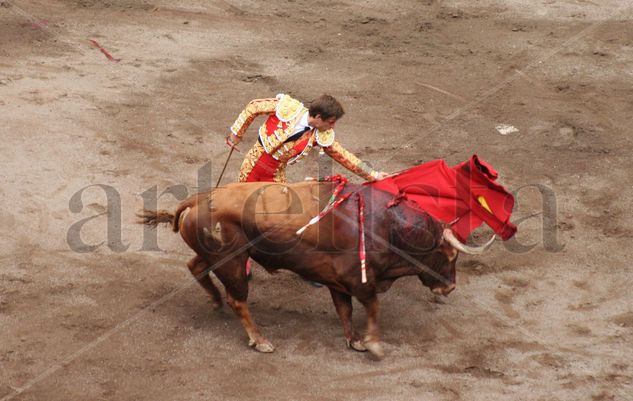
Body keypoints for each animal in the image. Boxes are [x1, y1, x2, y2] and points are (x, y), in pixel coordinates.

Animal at [139, 180, 494, 358]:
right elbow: (372, 308)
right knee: (237, 299)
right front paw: (374, 345)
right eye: (450, 255)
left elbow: (344, 310)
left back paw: (214, 300)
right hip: (233, 262)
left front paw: (354, 340)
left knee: (195, 265)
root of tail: (198, 199)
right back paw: (260, 340)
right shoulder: (360, 281)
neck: (387, 225)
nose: (450, 287)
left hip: (219, 257)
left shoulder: (337, 281)